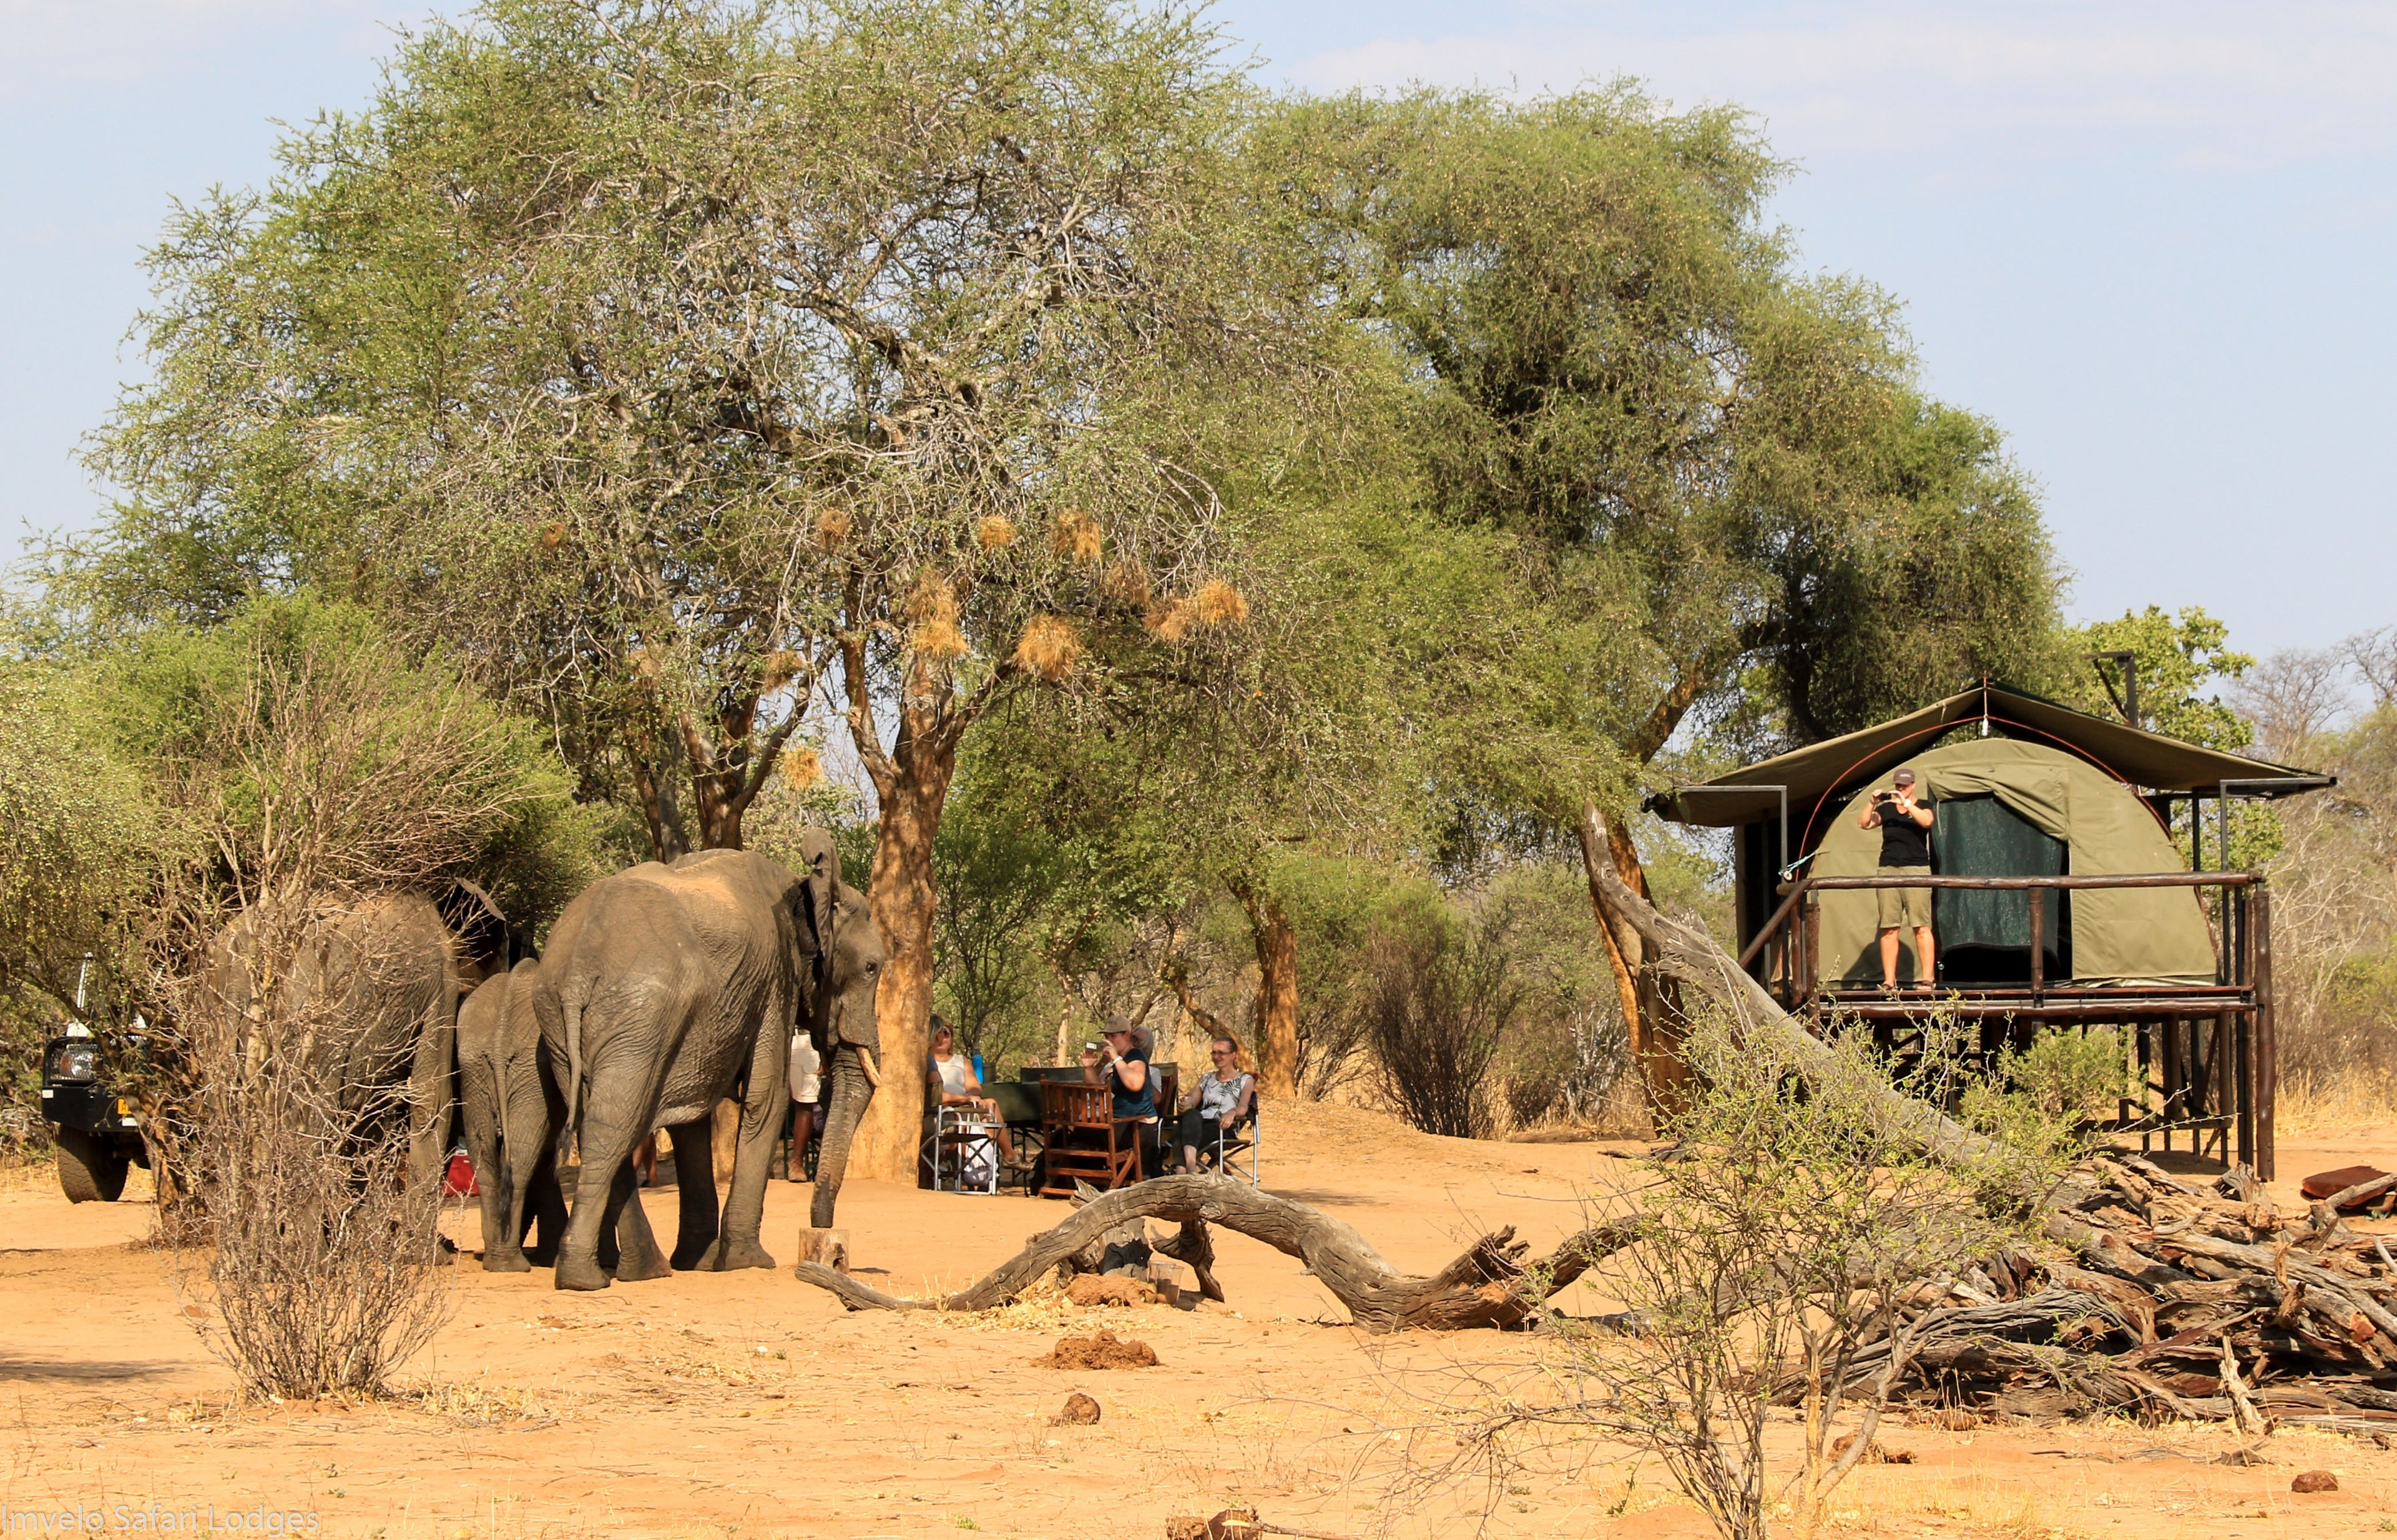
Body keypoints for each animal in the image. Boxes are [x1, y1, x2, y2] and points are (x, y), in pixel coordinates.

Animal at [457, 958, 568, 1272]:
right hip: (528, 1071)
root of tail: (500, 1037)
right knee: (520, 1159)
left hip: (475, 1069)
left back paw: (499, 1263)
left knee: (488, 1158)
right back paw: (514, 1264)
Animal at [533, 832, 883, 1292]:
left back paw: (641, 1271)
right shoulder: (776, 977)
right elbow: (766, 1098)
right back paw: (586, 1279)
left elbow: (692, 1121)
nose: (823, 1233)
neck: (802, 885)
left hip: (560, 1017)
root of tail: (576, 968)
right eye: (872, 968)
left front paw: (697, 1262)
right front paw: (747, 1261)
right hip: (642, 1014)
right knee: (614, 1124)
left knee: (607, 1118)